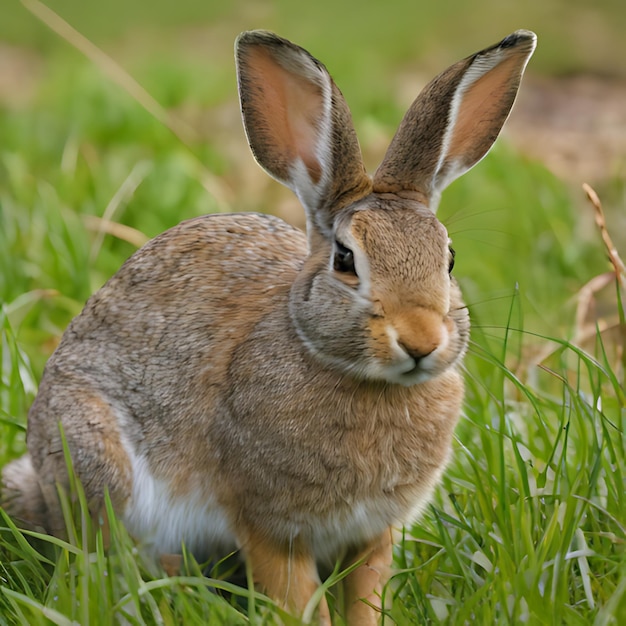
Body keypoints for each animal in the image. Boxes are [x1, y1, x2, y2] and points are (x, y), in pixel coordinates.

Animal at [2, 30, 532, 624]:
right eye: (345, 259)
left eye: (450, 259)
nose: (421, 341)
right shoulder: (268, 524)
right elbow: (297, 599)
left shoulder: (373, 534)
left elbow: (366, 597)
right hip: (93, 456)